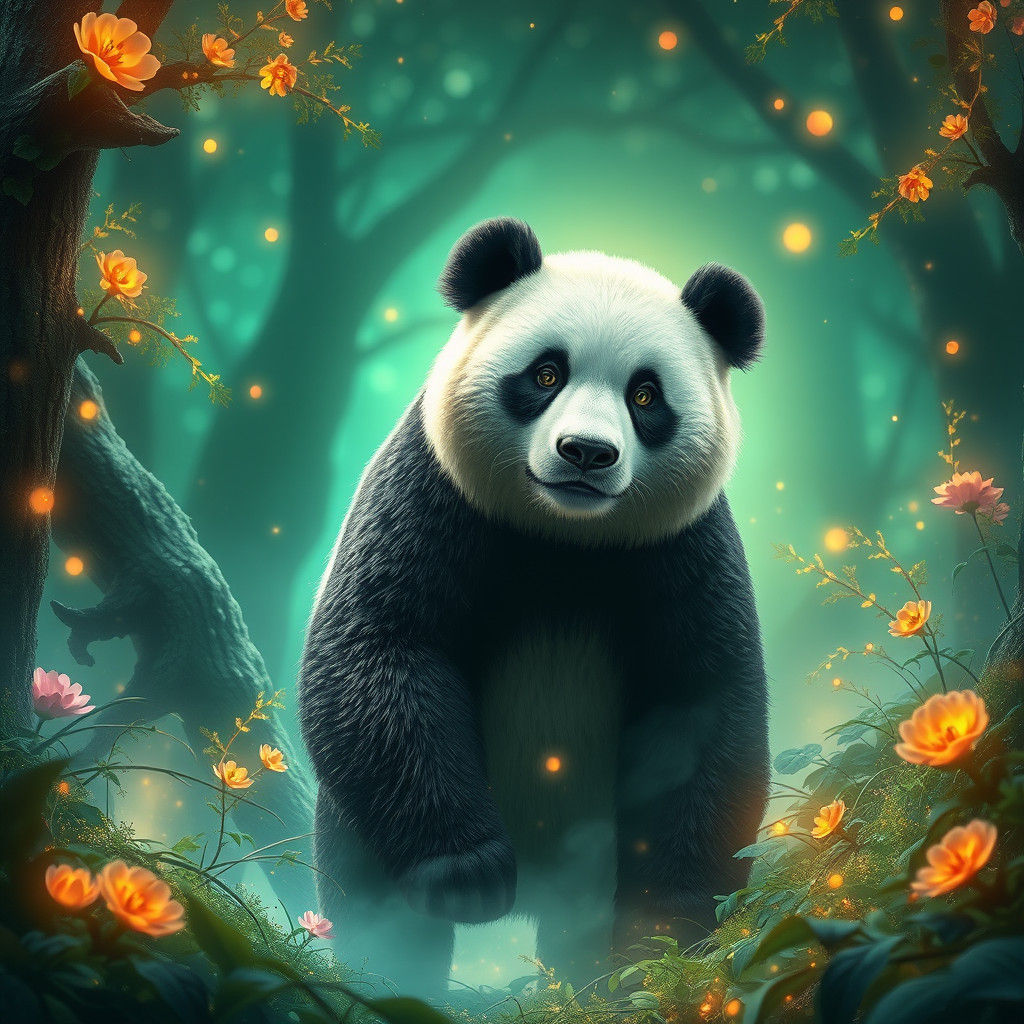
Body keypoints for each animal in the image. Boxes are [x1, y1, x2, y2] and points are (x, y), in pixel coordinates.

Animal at [299, 218, 769, 996]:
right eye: (546, 374)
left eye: (646, 396)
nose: (586, 453)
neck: (564, 538)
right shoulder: (432, 493)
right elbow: (382, 644)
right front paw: (468, 872)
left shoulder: (682, 547)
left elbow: (700, 707)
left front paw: (664, 932)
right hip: (361, 824)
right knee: (373, 902)